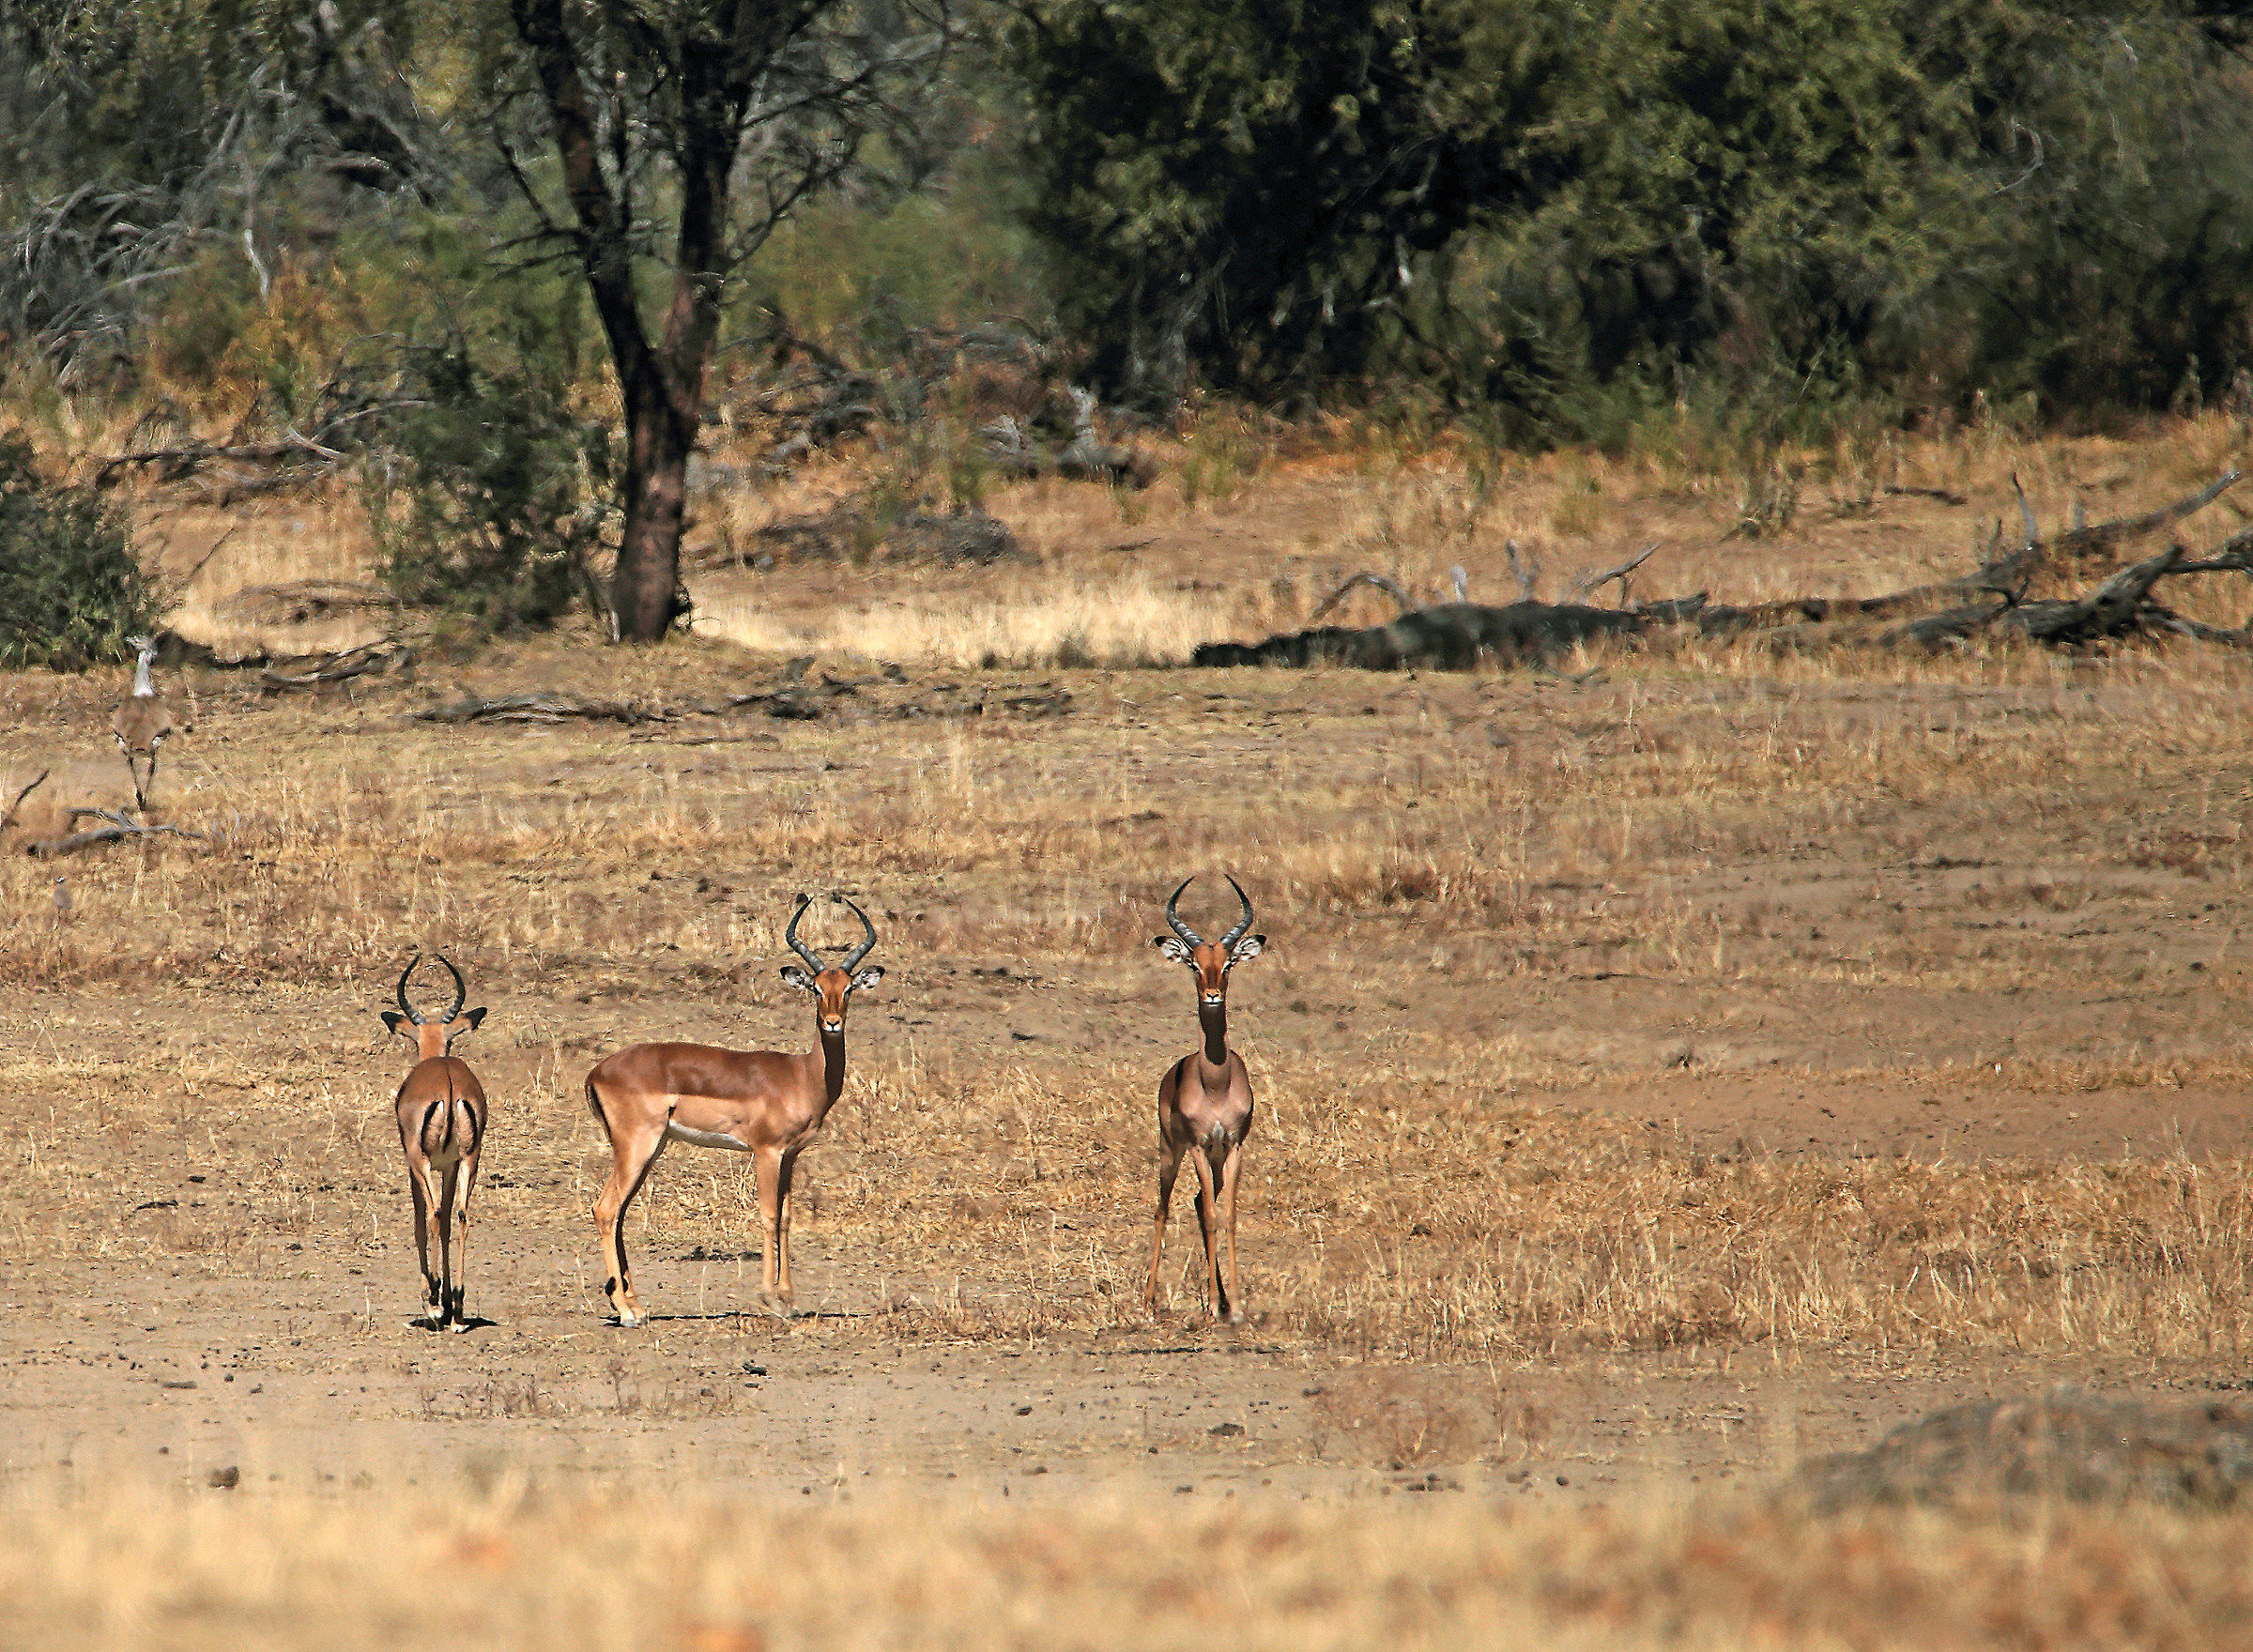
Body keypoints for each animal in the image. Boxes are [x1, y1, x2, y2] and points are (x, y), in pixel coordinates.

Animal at [109, 635, 175, 813]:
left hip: (143, 743)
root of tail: (140, 740)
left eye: (138, 640)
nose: (127, 638)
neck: (143, 691)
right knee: (137, 764)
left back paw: (142, 800)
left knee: (142, 765)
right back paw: (141, 799)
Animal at [381, 954, 490, 1331]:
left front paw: (432, 1300)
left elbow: (419, 1220)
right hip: (471, 1159)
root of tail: (448, 1084)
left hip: (422, 1161)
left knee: (432, 1214)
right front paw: (447, 1301)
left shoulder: (414, 1164)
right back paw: (456, 1308)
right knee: (460, 1215)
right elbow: (446, 1223)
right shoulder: (451, 1166)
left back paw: (435, 1306)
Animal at [584, 894, 884, 1326]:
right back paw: (626, 1312)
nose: (832, 1023)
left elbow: (787, 1219)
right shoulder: (766, 1152)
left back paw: (634, 1305)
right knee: (606, 1209)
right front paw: (770, 1299)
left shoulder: (790, 1156)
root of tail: (597, 1072)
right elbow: (768, 1216)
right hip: (638, 1146)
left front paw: (789, 1299)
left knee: (620, 1211)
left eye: (847, 989)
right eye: (815, 988)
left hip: (649, 1150)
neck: (801, 1076)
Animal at [1147, 875, 1265, 1323]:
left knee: (1201, 1202)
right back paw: (1148, 1303)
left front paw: (1236, 1307)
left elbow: (1226, 1216)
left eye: (1228, 962)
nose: (1212, 995)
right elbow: (1213, 1216)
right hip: (1171, 1150)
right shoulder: (1198, 1145)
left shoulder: (1233, 1146)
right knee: (1163, 1209)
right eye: (1194, 964)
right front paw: (1215, 1306)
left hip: (1213, 1158)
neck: (1215, 1084)